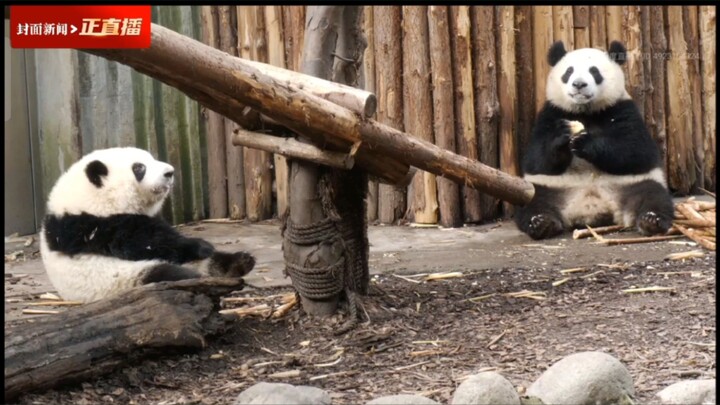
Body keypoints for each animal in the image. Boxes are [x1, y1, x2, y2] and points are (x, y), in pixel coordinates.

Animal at [40, 147, 256, 302]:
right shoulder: (89, 225)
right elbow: (142, 241)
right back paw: (201, 279)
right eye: (139, 168)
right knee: (166, 274)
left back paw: (238, 263)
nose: (170, 172)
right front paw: (201, 246)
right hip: (121, 280)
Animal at [516, 39, 676, 238]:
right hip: (546, 188)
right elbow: (536, 159)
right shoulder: (551, 113)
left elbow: (636, 151)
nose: (578, 84)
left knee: (654, 195)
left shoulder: (622, 109)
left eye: (594, 71)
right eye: (568, 72)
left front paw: (585, 143)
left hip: (634, 184)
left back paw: (651, 221)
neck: (585, 111)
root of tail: (591, 208)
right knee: (532, 202)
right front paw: (562, 138)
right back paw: (541, 223)